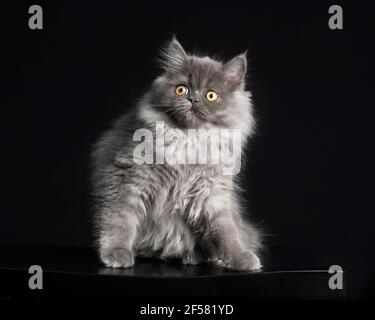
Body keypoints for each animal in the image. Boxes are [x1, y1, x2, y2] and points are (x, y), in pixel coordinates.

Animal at [91, 38, 262, 272]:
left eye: (211, 95)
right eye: (181, 89)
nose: (193, 99)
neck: (188, 139)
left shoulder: (213, 193)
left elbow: (226, 232)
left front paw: (240, 258)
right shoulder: (128, 180)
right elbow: (119, 220)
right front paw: (116, 253)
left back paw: (197, 256)